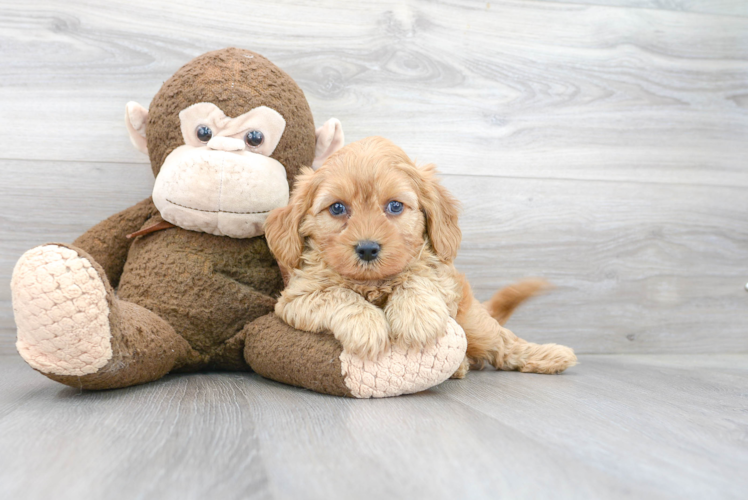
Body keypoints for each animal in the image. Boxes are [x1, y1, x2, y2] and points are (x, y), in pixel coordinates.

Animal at [264, 137, 580, 376]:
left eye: (394, 206)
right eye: (337, 208)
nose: (367, 249)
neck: (373, 284)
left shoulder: (443, 278)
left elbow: (417, 276)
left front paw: (417, 317)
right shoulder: (296, 297)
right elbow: (337, 294)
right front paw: (366, 326)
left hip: (476, 324)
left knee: (503, 342)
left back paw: (551, 355)